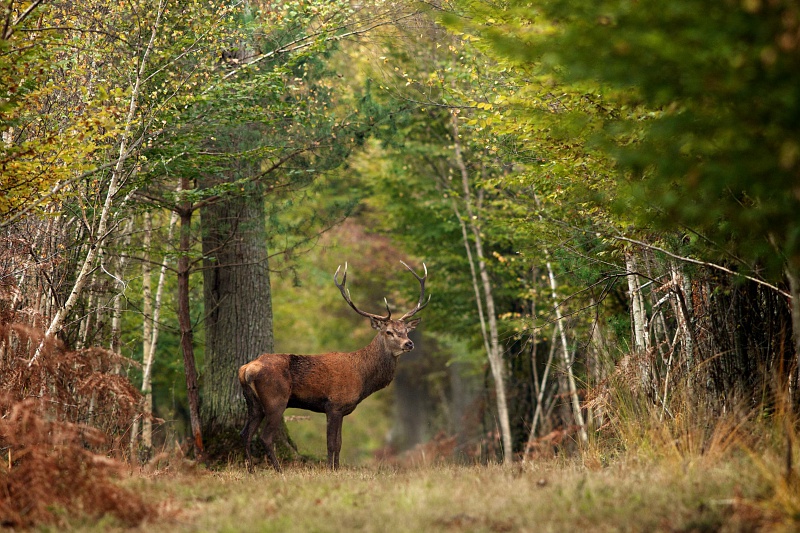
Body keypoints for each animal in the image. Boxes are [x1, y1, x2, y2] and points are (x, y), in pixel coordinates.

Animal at [238, 261, 429, 472]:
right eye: (389, 332)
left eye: (406, 331)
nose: (409, 344)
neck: (362, 377)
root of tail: (246, 370)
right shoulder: (334, 405)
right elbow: (331, 444)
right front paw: (330, 469)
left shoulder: (343, 409)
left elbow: (339, 443)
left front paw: (336, 468)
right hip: (276, 399)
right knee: (265, 437)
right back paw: (278, 470)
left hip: (253, 403)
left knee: (245, 434)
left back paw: (251, 469)